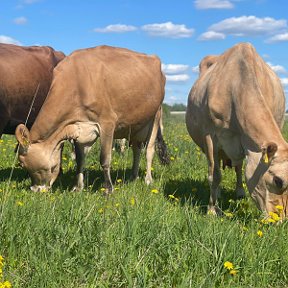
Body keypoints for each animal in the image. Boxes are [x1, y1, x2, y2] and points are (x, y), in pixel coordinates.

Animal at [15, 45, 169, 192]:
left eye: (22, 164)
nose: (35, 190)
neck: (77, 83)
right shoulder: (79, 127)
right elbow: (80, 159)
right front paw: (78, 187)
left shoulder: (107, 122)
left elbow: (105, 159)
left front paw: (108, 189)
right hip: (136, 125)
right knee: (136, 150)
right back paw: (133, 177)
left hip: (155, 117)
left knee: (149, 150)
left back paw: (148, 180)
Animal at [186, 41, 286, 215]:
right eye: (278, 181)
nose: (280, 219)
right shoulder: (210, 136)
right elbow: (214, 175)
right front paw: (212, 209)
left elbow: (239, 168)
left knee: (238, 167)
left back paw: (239, 192)